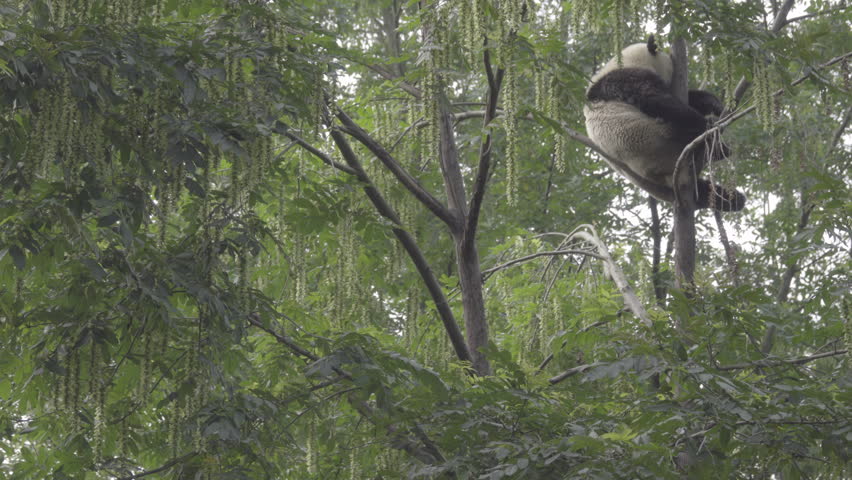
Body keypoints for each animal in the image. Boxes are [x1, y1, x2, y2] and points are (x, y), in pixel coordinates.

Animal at [583, 36, 745, 211]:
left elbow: (691, 98)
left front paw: (715, 104)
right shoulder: (625, 79)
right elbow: (656, 100)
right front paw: (709, 122)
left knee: (704, 191)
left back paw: (733, 198)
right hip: (658, 139)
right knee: (683, 129)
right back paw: (716, 142)